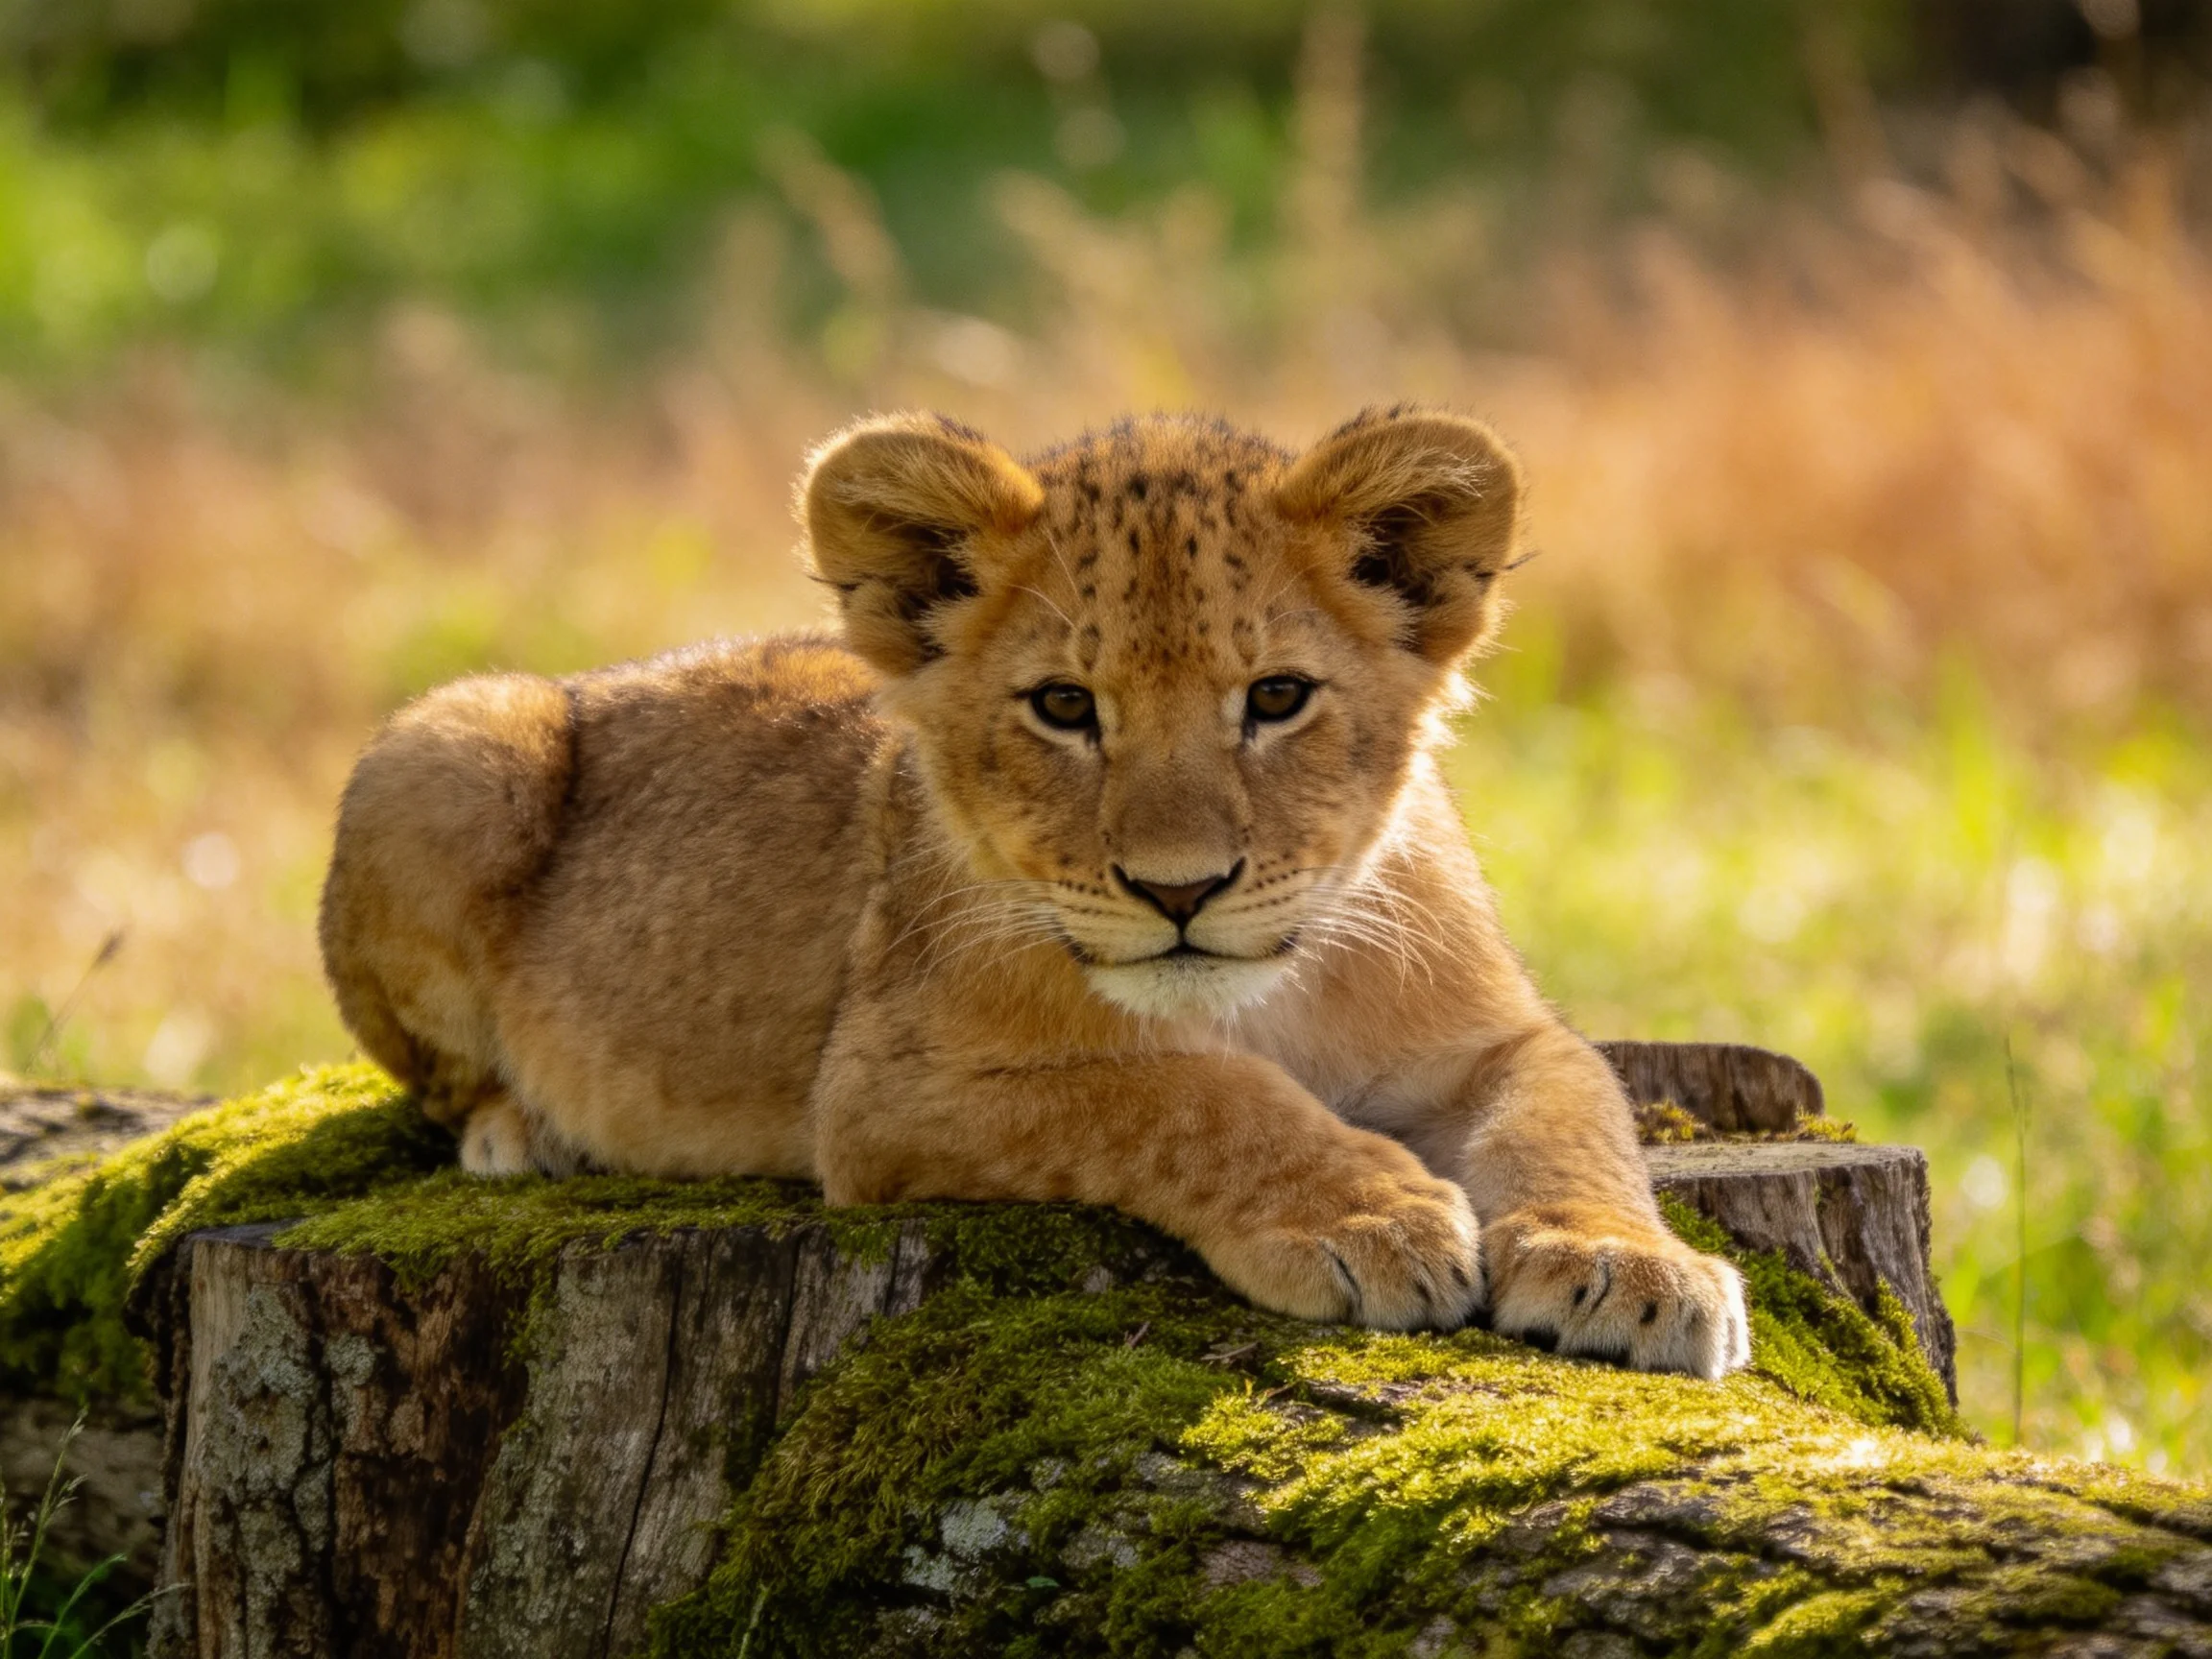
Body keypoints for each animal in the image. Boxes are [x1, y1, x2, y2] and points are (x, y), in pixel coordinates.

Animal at [319, 406, 1750, 1378]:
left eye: (1277, 696)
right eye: (1066, 707)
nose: (1183, 889)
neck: (1263, 996)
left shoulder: (1494, 1037)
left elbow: (1571, 1110)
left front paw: (1630, 1268)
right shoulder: (883, 1093)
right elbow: (1178, 1092)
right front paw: (1372, 1217)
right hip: (456, 741)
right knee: (442, 1080)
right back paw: (526, 1131)